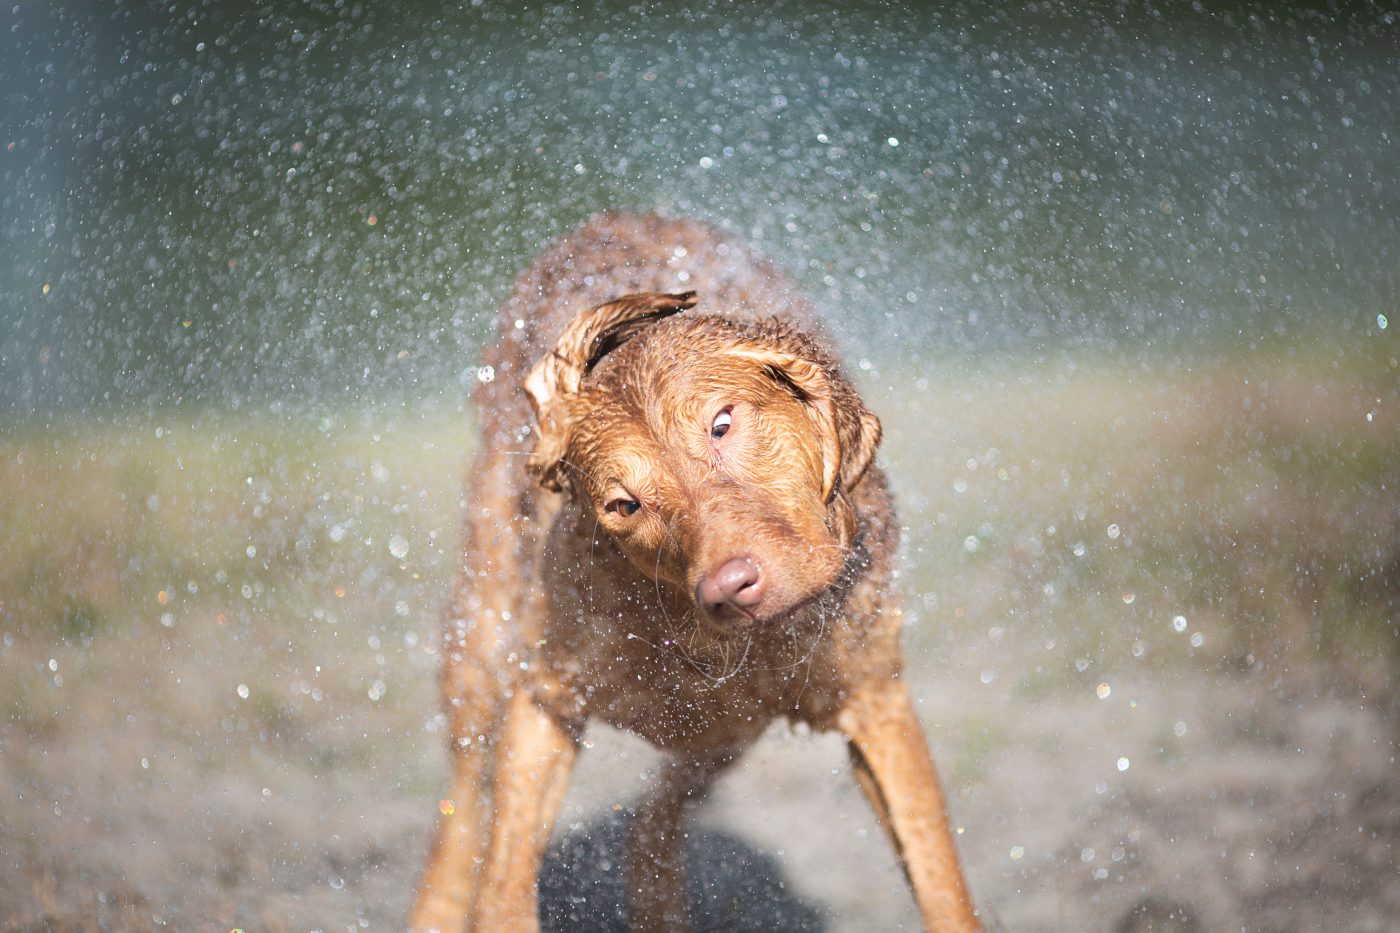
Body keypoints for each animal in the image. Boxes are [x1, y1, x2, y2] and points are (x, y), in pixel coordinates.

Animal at [408, 212, 974, 930]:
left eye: (722, 424)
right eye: (623, 504)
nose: (730, 589)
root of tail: (623, 214)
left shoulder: (874, 702)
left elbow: (939, 878)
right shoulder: (546, 697)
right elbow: (503, 875)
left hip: (724, 741)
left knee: (652, 823)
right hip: (481, 653)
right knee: (464, 817)